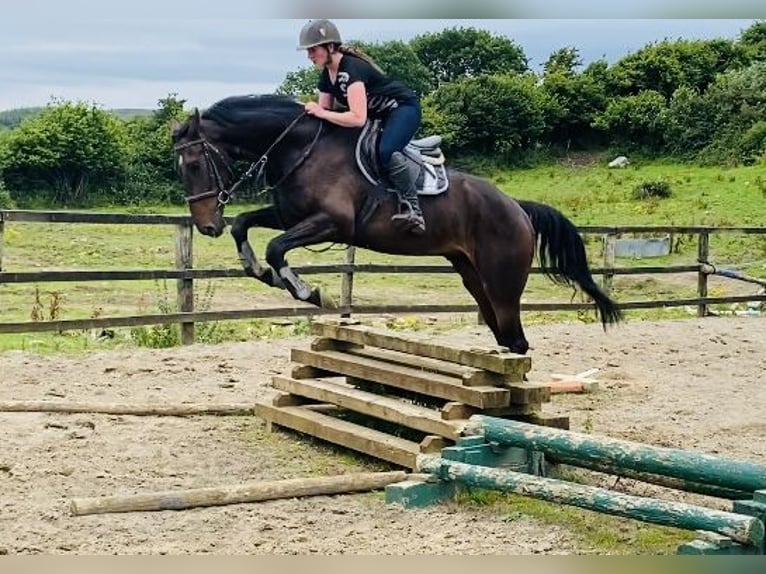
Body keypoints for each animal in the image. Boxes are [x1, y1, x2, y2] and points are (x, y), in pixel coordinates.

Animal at [170, 94, 624, 356]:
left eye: (193, 165)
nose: (206, 225)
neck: (300, 148)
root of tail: (517, 207)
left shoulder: (332, 223)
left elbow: (276, 247)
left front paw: (307, 291)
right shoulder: (291, 215)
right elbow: (245, 227)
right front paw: (259, 271)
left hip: (503, 282)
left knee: (516, 338)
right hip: (474, 278)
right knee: (505, 336)